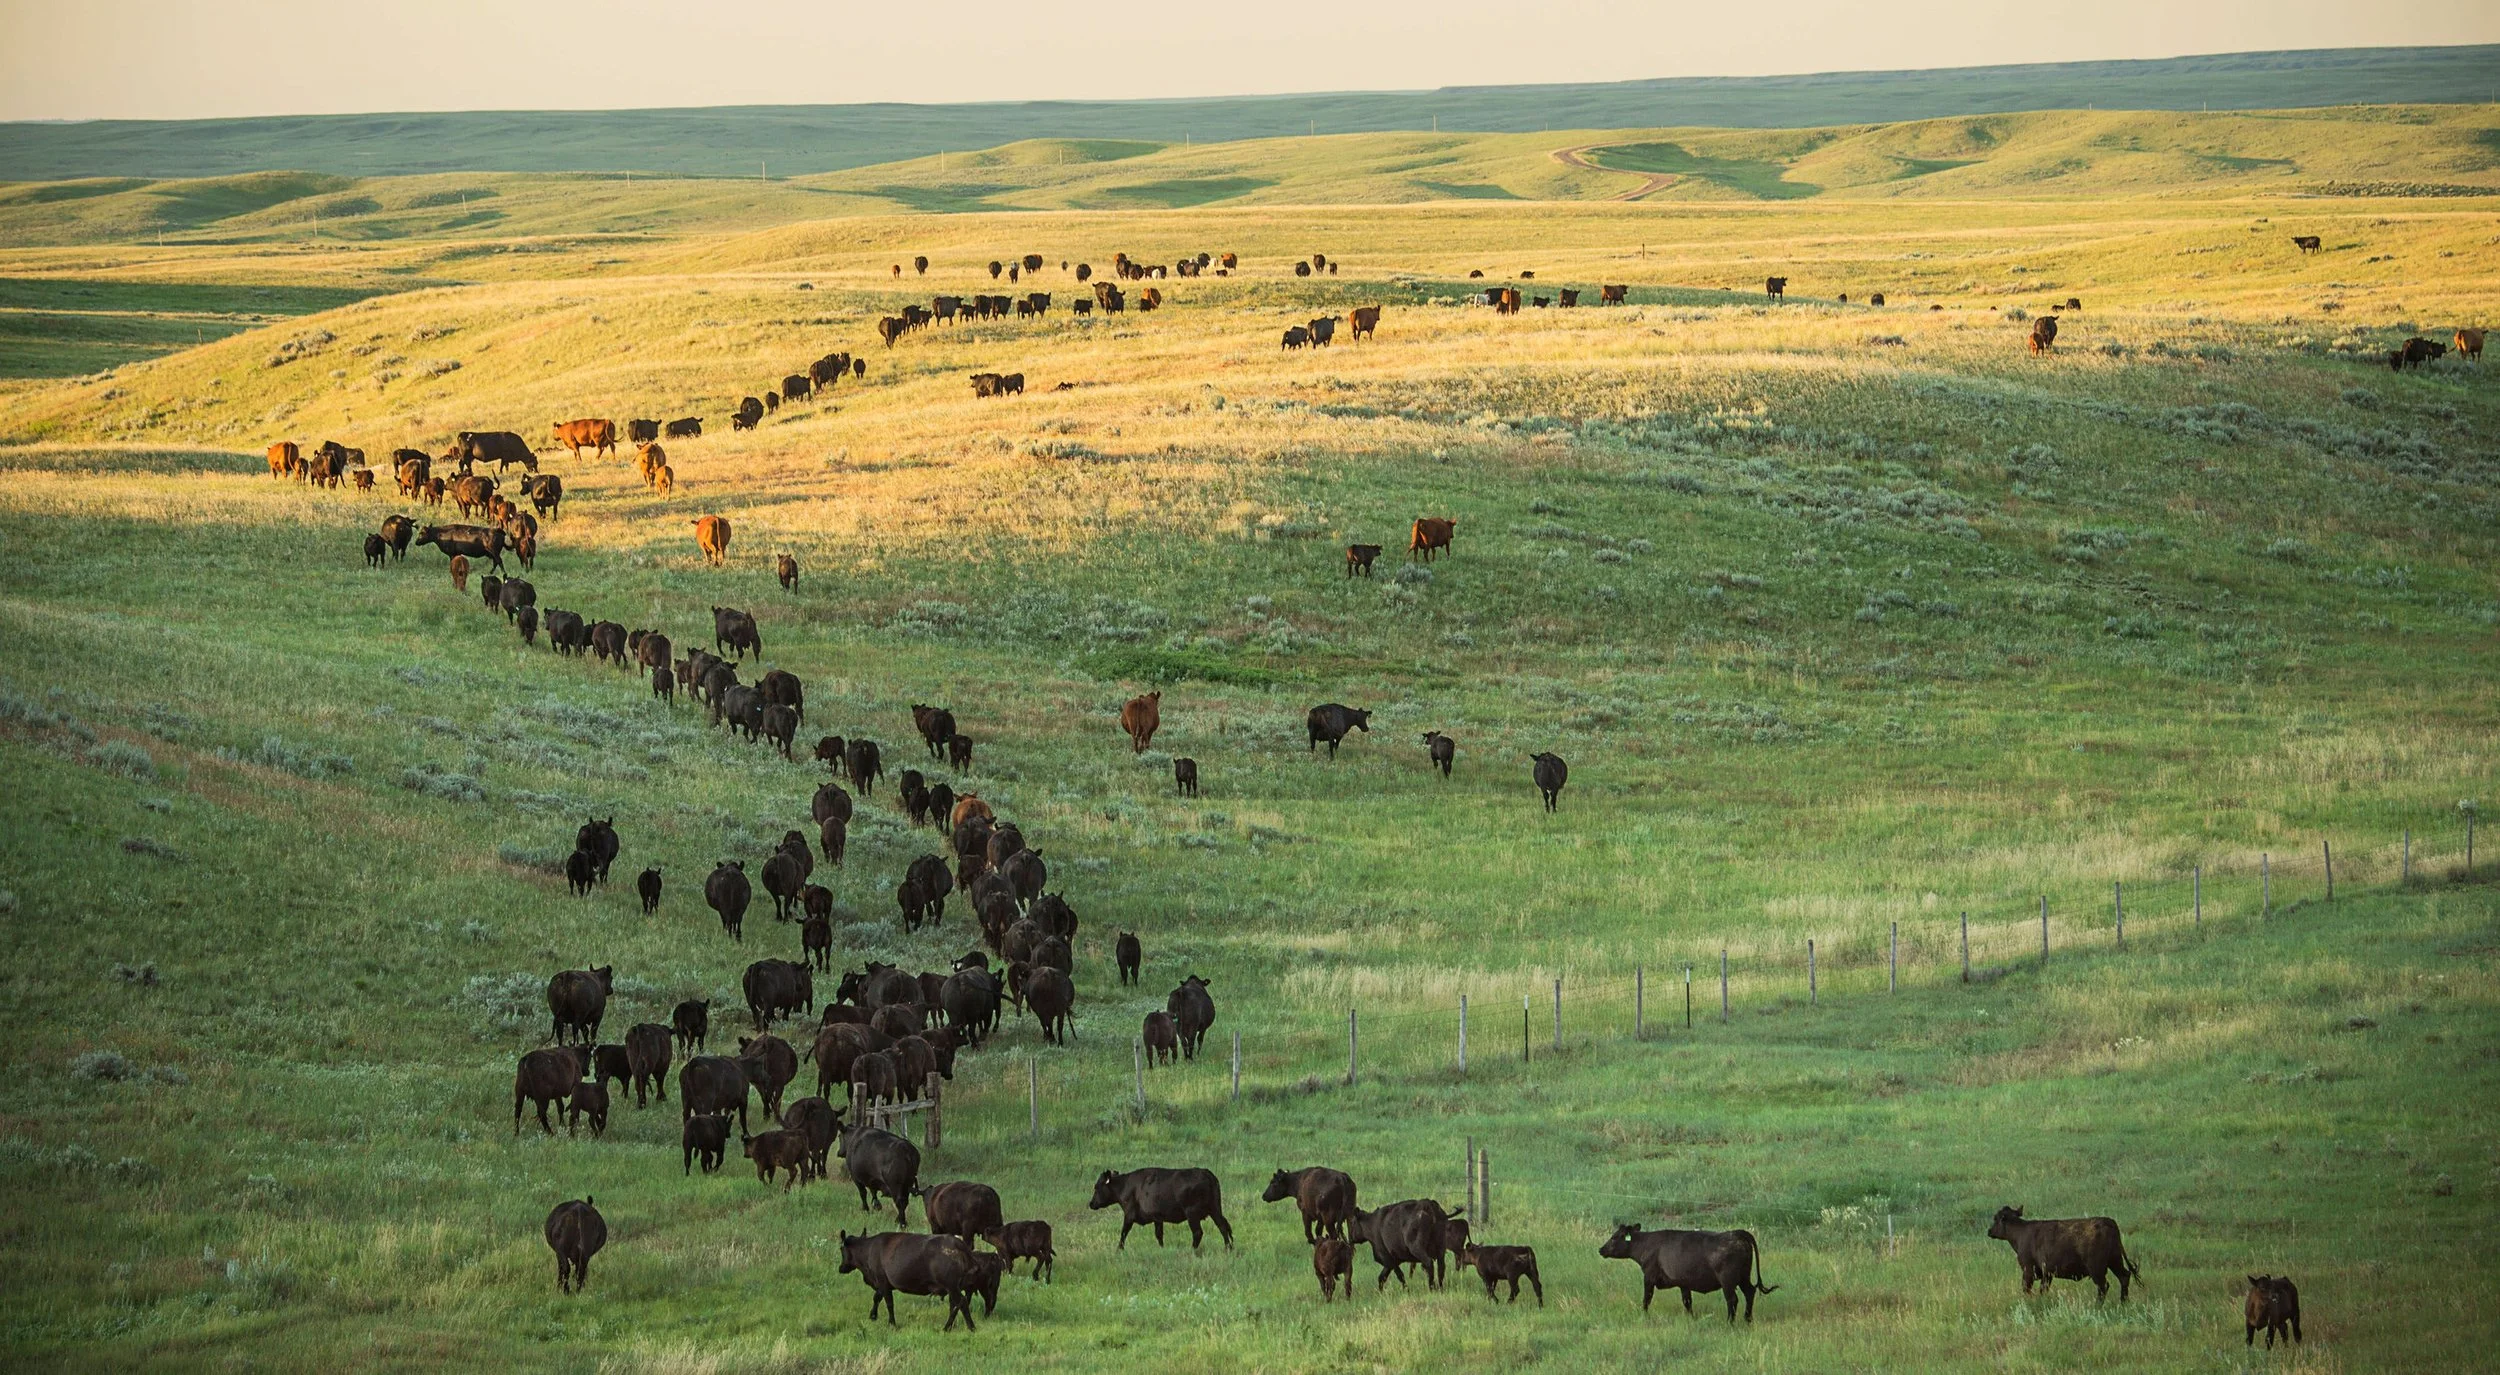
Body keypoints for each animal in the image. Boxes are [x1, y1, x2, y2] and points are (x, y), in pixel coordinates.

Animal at [1090, 1167, 1232, 1250]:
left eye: (1096, 1187)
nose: (1091, 1204)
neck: (1125, 1185)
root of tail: (1206, 1173)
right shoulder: (1157, 1217)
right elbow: (1159, 1234)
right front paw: (1161, 1248)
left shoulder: (1129, 1214)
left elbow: (1124, 1232)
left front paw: (1119, 1249)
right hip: (1215, 1208)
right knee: (1222, 1226)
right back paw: (1228, 1248)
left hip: (1192, 1213)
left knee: (1198, 1232)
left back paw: (1192, 1250)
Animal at [1599, 1222, 1778, 1320]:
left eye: (1614, 1237)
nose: (1601, 1249)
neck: (1646, 1244)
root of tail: (1738, 1233)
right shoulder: (1683, 1282)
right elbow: (1687, 1302)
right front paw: (1691, 1318)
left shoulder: (1648, 1277)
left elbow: (1646, 1299)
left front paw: (1643, 1315)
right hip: (1743, 1276)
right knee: (1750, 1292)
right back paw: (1748, 1319)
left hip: (1728, 1279)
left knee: (1732, 1299)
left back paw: (1730, 1322)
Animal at [1987, 1206, 2141, 1302]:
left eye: (1995, 1218)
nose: (1989, 1231)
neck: (2021, 1232)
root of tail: (2108, 1221)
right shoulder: (2047, 1274)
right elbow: (2043, 1290)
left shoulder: (2028, 1270)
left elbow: (2027, 1289)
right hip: (2115, 1260)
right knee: (2124, 1277)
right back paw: (2124, 1302)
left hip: (2096, 1268)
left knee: (2103, 1286)